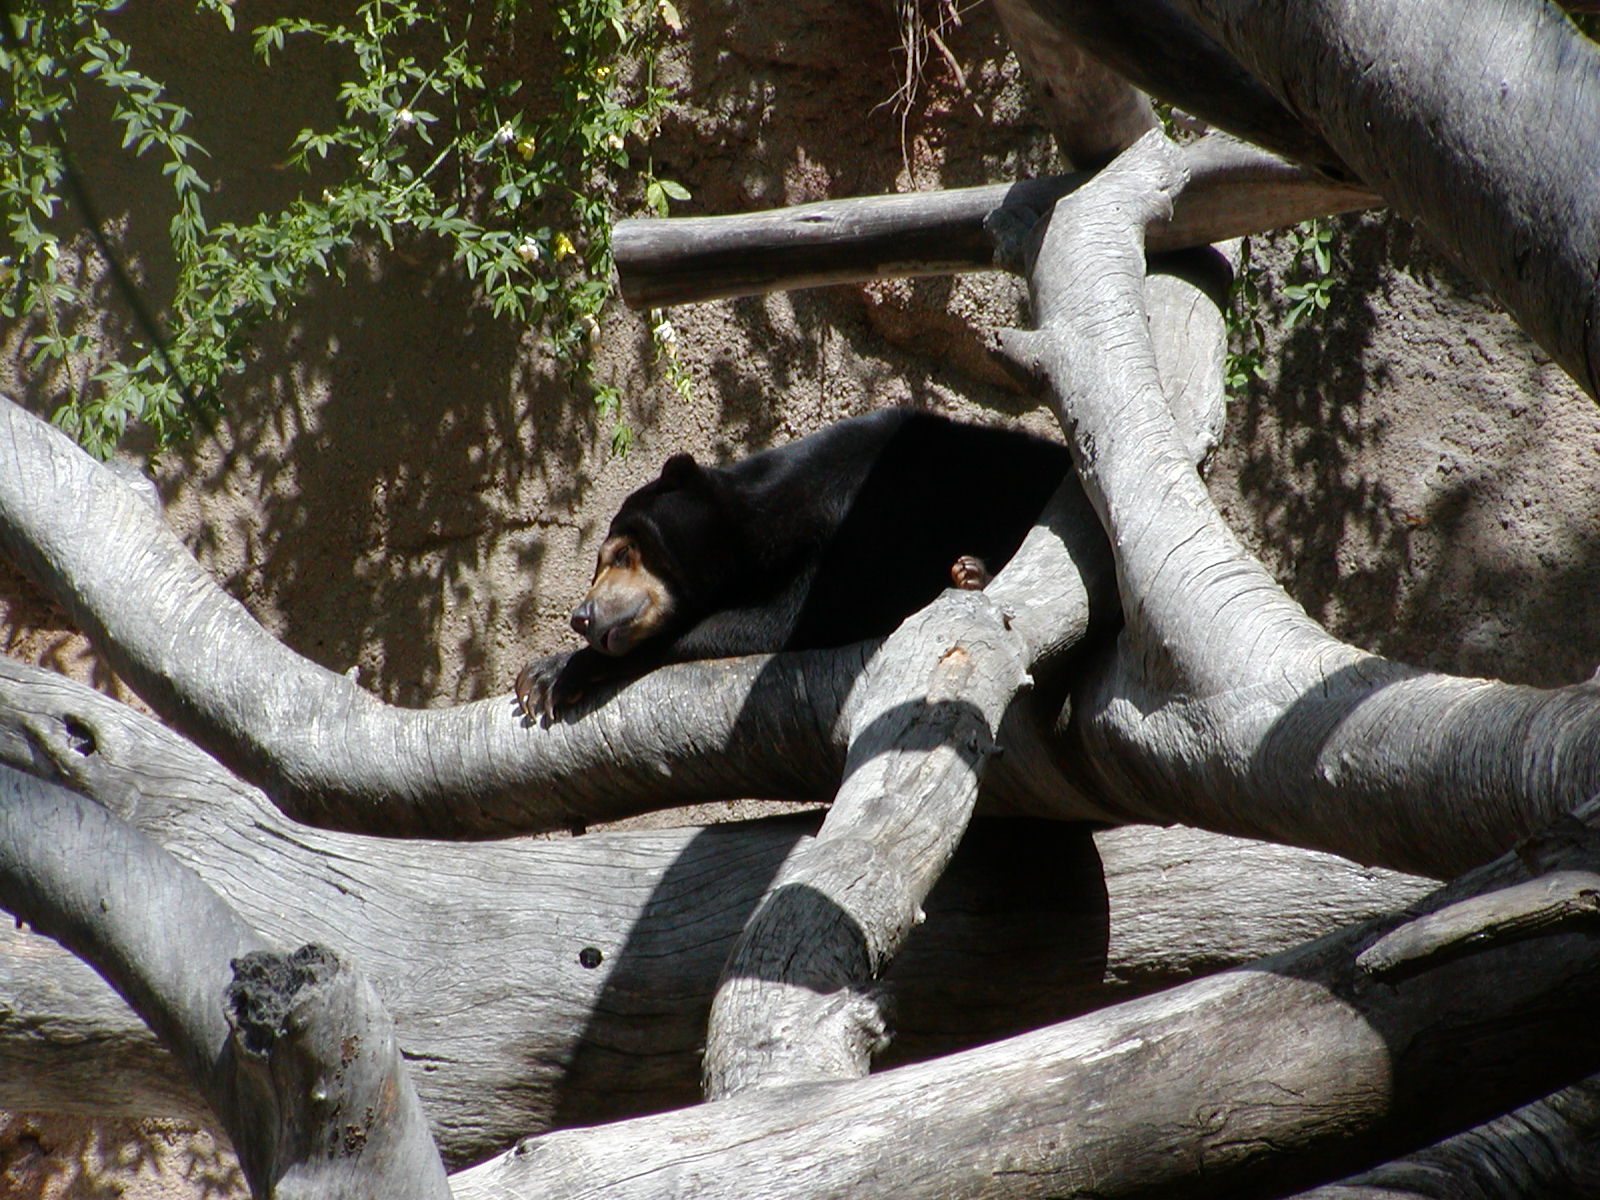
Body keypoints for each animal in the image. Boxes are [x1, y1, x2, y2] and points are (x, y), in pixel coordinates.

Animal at [515, 408, 1077, 721]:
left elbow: (784, 619)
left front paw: (555, 673)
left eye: (624, 553)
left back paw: (972, 571)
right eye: (600, 563)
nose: (583, 616)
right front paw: (542, 675)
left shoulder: (863, 518)